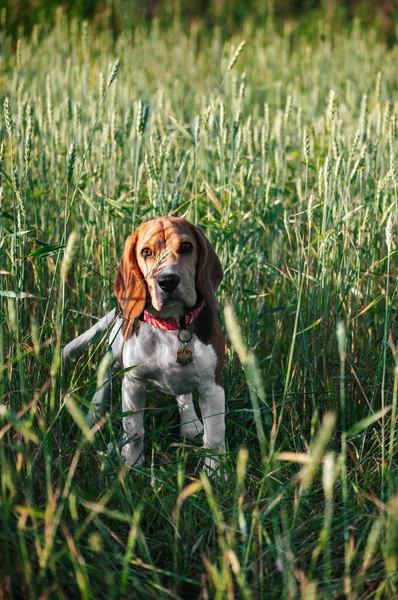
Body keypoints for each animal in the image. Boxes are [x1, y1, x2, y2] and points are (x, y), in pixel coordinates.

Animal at [65, 216, 227, 474]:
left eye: (186, 247)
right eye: (146, 252)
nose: (168, 280)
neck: (171, 325)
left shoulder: (213, 387)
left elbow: (214, 437)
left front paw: (215, 474)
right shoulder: (132, 383)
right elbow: (134, 430)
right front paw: (131, 464)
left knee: (183, 396)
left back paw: (190, 423)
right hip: (113, 356)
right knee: (102, 387)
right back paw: (91, 421)